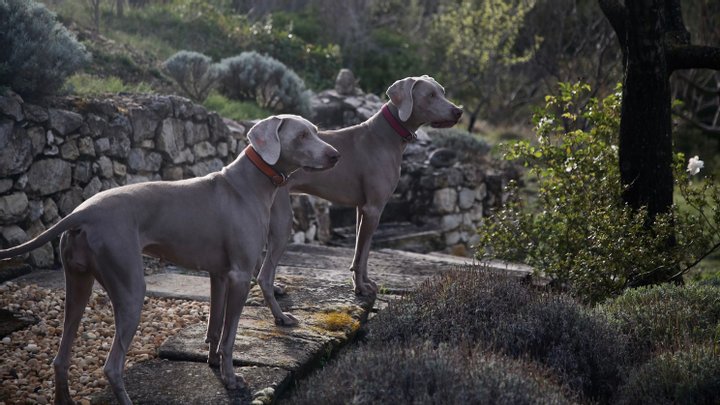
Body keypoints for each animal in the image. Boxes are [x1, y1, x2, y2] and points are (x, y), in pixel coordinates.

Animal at [0, 114, 340, 404]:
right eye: (302, 135)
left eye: (316, 131)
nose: (336, 155)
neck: (249, 183)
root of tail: (80, 212)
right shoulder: (240, 275)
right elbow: (230, 335)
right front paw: (231, 379)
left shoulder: (219, 275)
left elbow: (215, 327)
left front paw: (213, 363)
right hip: (130, 287)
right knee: (112, 366)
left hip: (78, 282)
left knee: (61, 357)